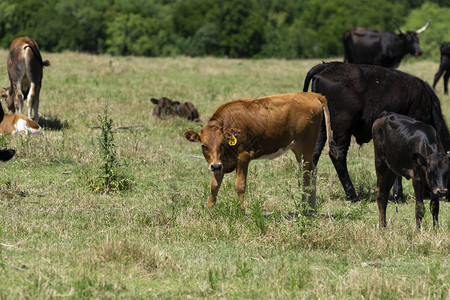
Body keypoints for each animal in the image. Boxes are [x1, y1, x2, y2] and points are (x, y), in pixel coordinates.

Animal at [183, 91, 334, 209]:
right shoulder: (221, 162)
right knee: (310, 171)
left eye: (222, 144)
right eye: (203, 145)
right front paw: (209, 209)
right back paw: (311, 207)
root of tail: (312, 95)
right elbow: (214, 186)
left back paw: (305, 208)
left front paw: (241, 210)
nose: (214, 166)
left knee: (307, 174)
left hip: (305, 147)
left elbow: (240, 185)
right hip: (298, 150)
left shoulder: (243, 157)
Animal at [302, 61, 450, 202]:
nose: (444, 193)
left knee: (313, 155)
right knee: (338, 155)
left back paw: (308, 192)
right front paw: (399, 196)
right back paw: (352, 195)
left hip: (322, 129)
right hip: (341, 127)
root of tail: (326, 66)